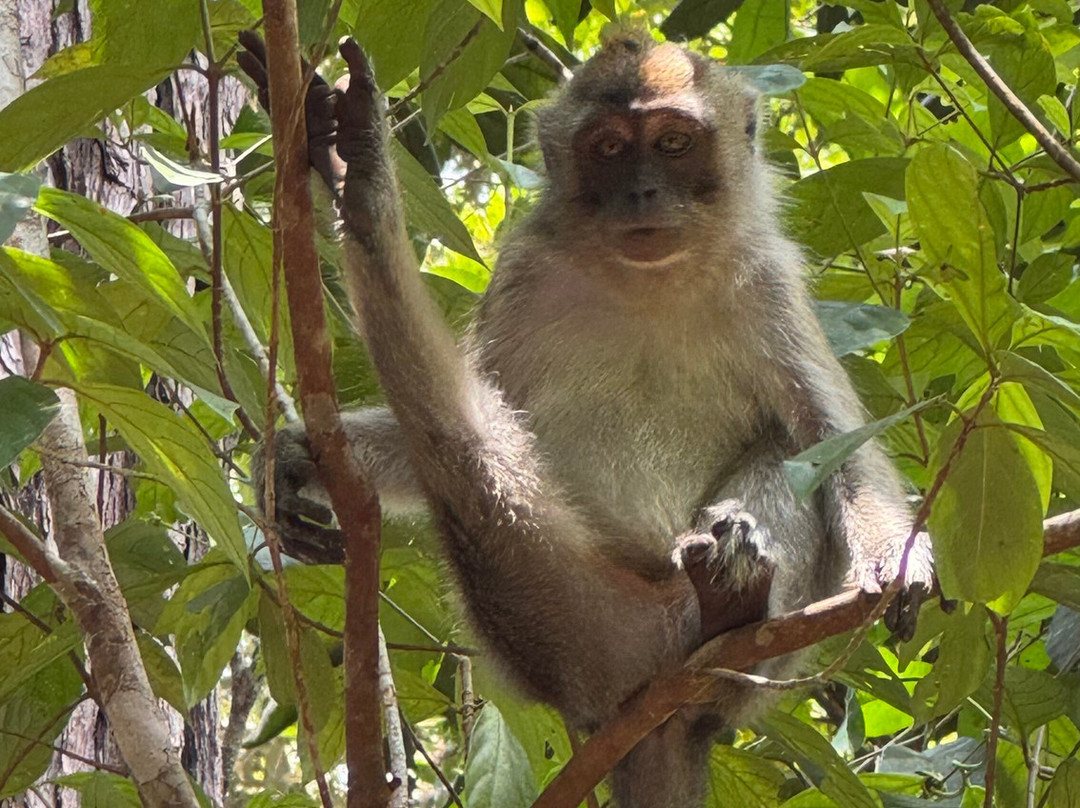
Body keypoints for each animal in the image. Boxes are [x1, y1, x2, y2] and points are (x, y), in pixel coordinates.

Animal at [239, 28, 934, 808]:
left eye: (672, 143)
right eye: (607, 148)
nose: (642, 191)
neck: (648, 282)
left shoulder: (769, 285)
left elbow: (831, 439)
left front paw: (896, 561)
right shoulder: (525, 275)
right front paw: (292, 461)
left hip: (747, 669)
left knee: (782, 448)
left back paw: (733, 601)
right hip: (564, 624)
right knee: (459, 443)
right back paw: (358, 181)